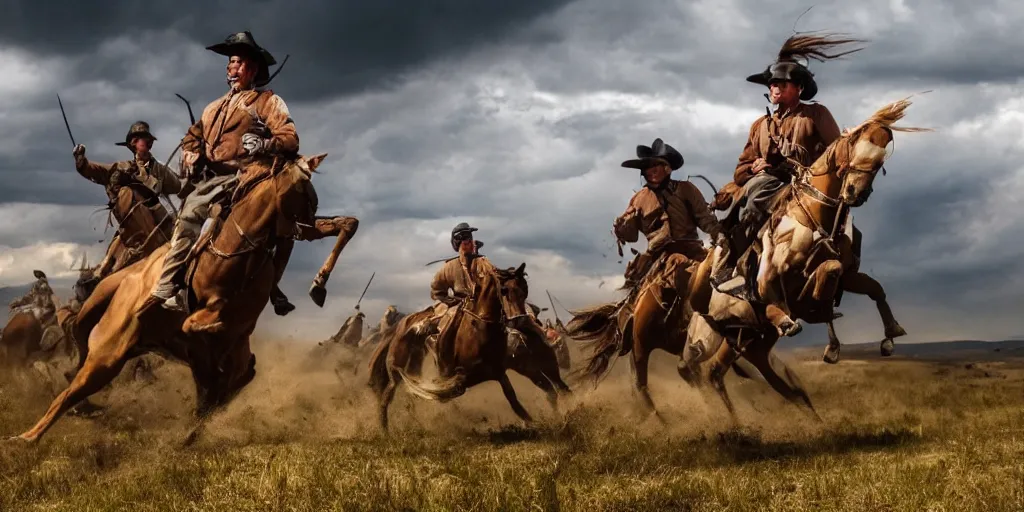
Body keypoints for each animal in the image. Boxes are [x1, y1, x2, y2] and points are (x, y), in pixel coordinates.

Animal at [12, 152, 360, 444]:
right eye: (298, 190)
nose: (308, 225)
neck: (238, 248)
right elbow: (206, 317)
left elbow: (348, 225)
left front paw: (318, 285)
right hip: (108, 353)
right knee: (69, 391)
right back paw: (28, 437)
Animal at [368, 264, 569, 432]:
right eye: (505, 290)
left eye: (525, 290)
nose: (522, 321)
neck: (480, 329)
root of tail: (401, 324)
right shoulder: (471, 373)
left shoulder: (498, 371)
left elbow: (515, 397)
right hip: (396, 373)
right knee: (387, 398)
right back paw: (384, 430)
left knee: (555, 389)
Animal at [684, 98, 933, 415]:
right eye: (854, 145)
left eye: (881, 160)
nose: (855, 193)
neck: (813, 214)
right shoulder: (772, 277)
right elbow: (804, 284)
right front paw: (826, 332)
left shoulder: (847, 275)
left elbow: (865, 284)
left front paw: (890, 334)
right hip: (728, 332)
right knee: (710, 367)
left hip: (750, 338)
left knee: (743, 372)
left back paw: (804, 409)